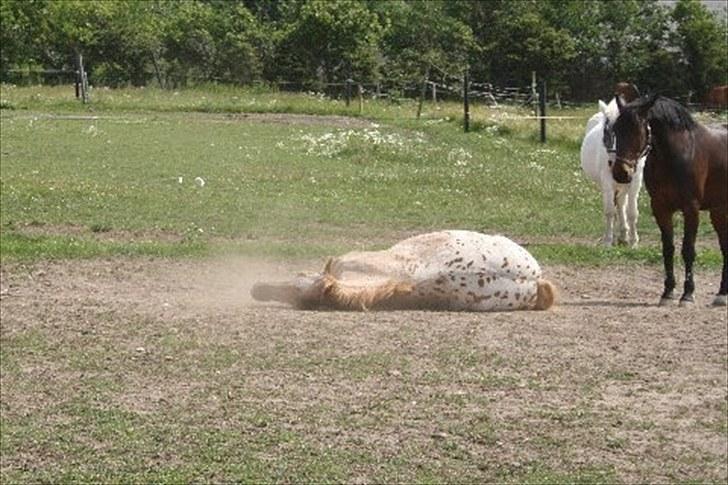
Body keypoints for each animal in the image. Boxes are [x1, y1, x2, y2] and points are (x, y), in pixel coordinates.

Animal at [580, 97, 644, 246]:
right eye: (606, 132)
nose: (619, 170)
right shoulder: (607, 180)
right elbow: (609, 210)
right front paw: (608, 241)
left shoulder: (635, 181)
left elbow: (632, 212)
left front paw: (633, 241)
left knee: (621, 203)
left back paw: (624, 235)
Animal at [608, 93, 728, 306]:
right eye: (616, 130)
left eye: (638, 130)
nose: (621, 173)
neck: (674, 156)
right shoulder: (660, 207)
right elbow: (668, 248)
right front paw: (668, 292)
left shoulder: (691, 208)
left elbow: (688, 249)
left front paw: (687, 294)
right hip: (719, 211)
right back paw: (722, 293)